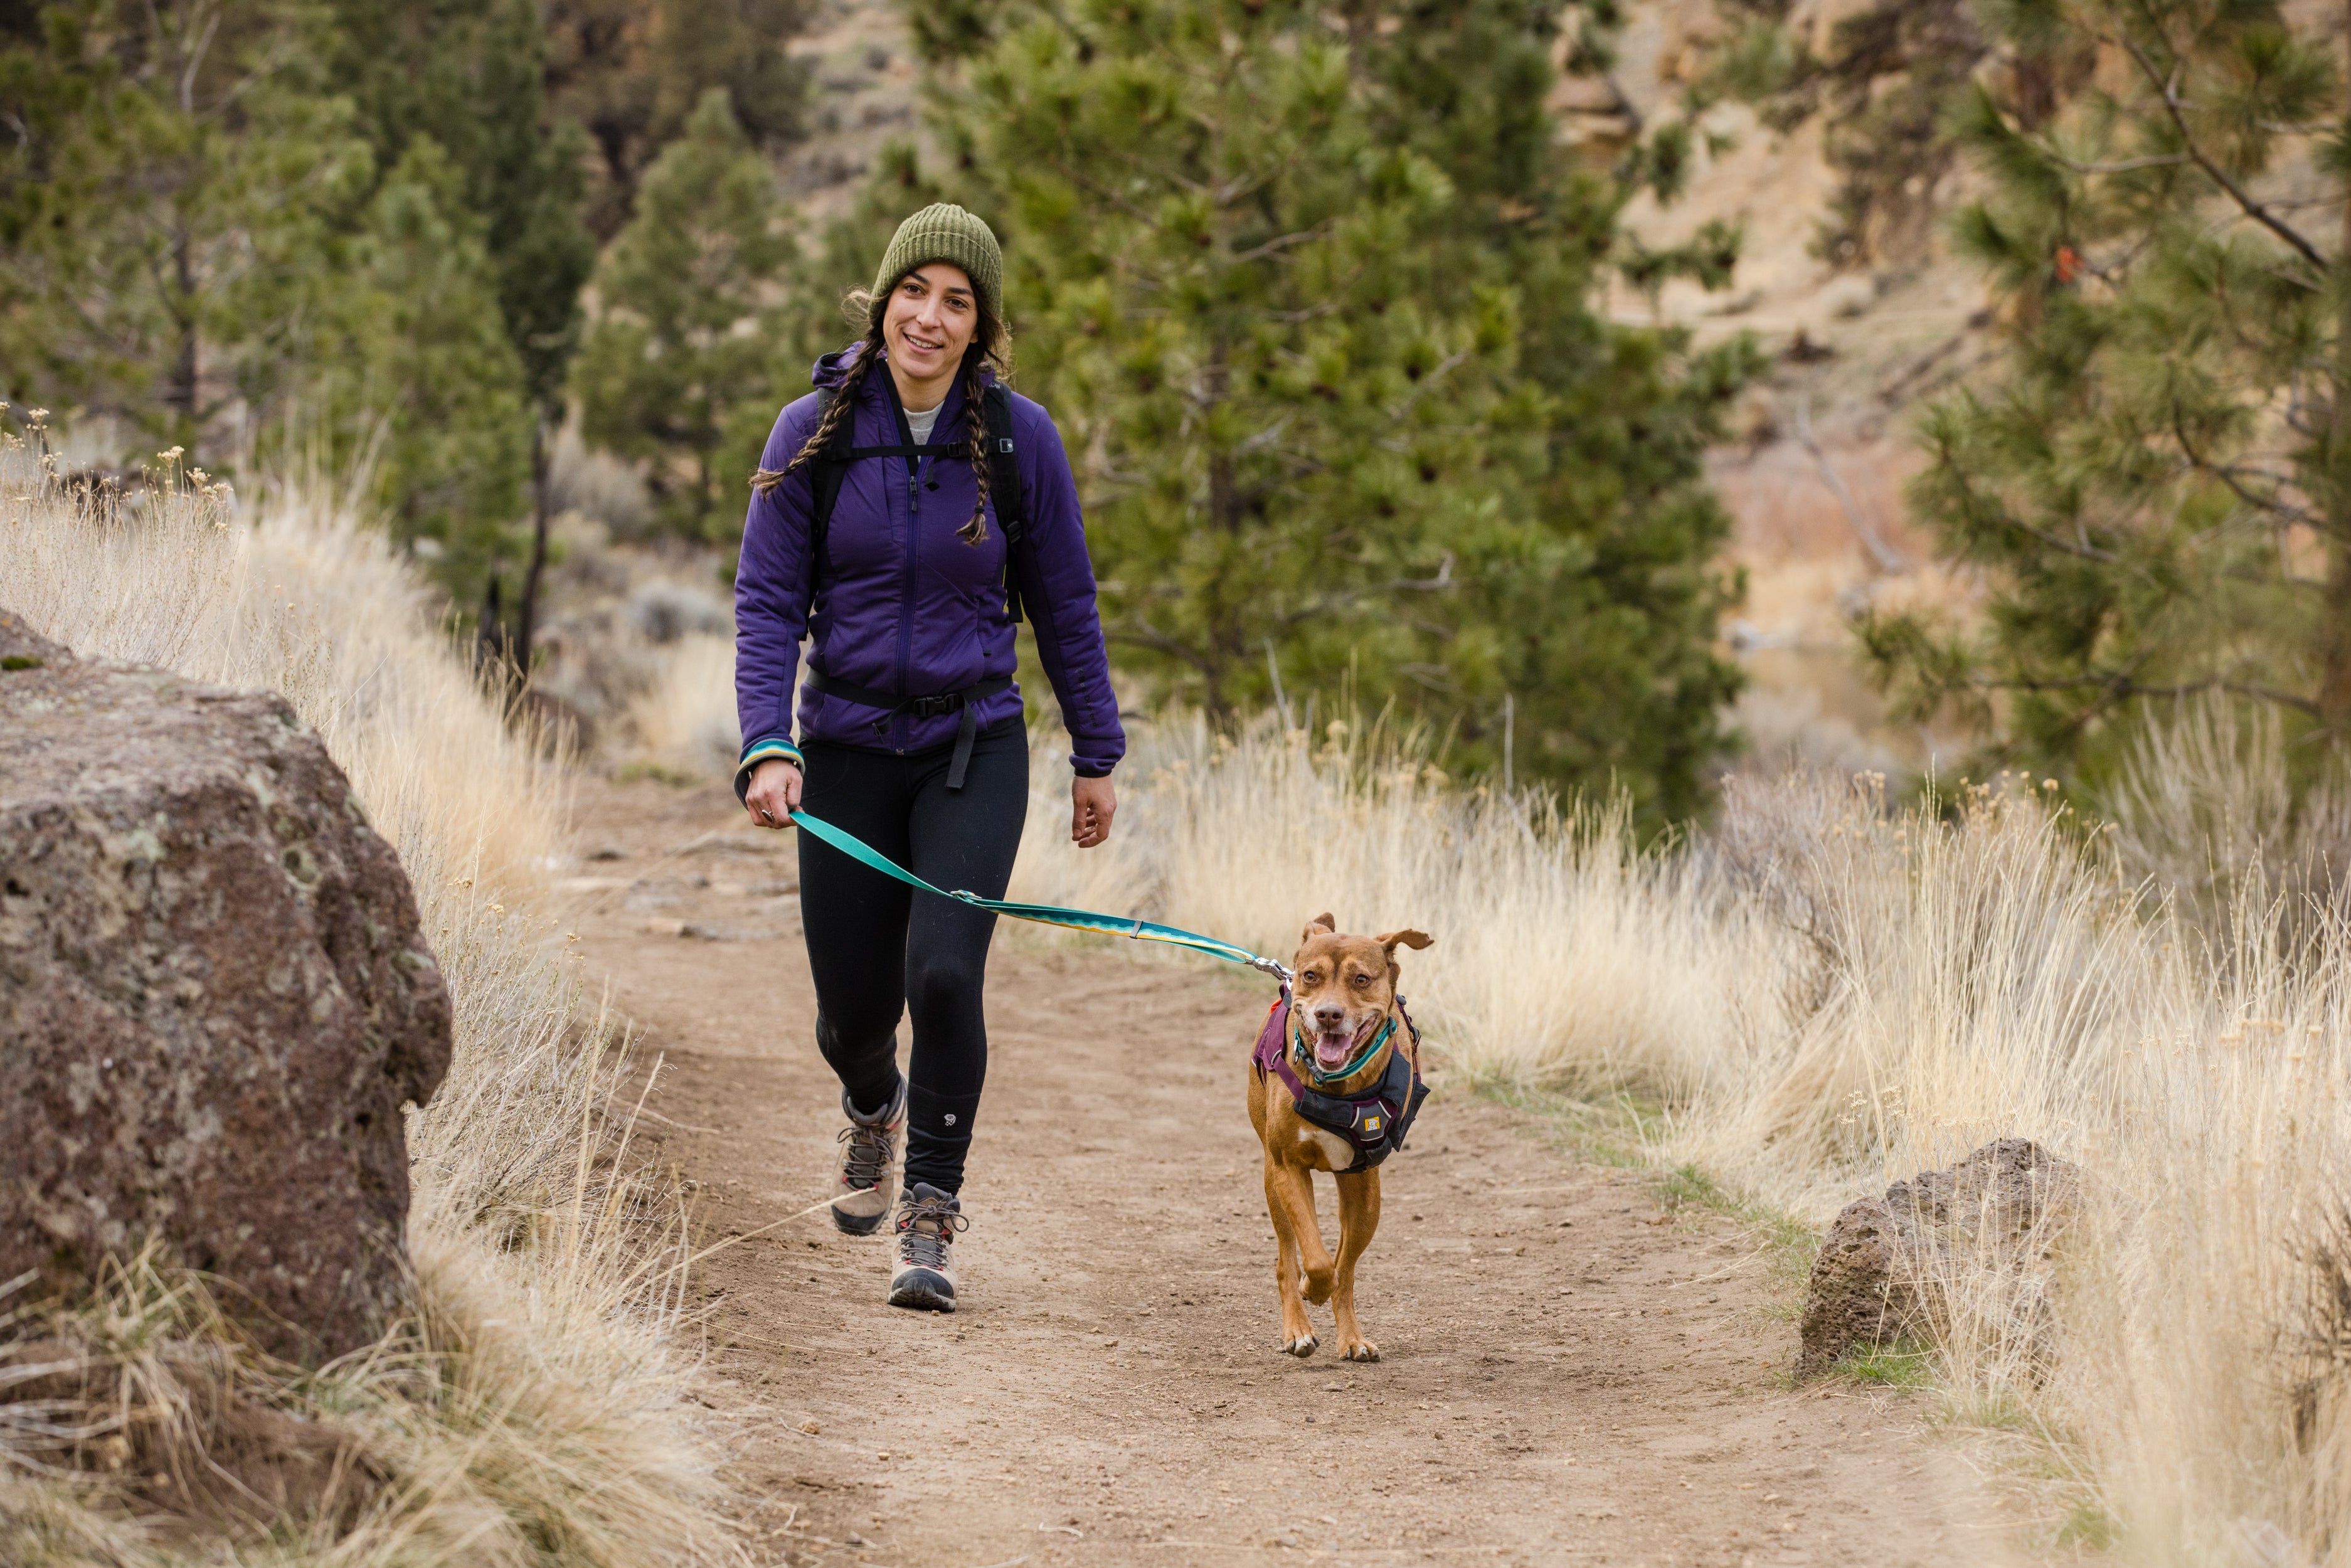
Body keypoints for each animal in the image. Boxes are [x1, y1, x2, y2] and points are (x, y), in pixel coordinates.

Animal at [1250, 921, 1429, 1363]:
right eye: (1311, 975)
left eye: (1361, 979)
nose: (1328, 1014)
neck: (1336, 1086)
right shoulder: (1288, 1166)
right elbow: (1315, 1259)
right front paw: (1311, 1290)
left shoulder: (1363, 1180)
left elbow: (1341, 1267)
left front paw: (1340, 1318)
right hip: (1272, 1181)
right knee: (1287, 1257)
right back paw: (1297, 1329)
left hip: (1364, 1196)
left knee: (1344, 1269)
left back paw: (1352, 1339)